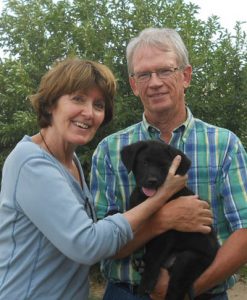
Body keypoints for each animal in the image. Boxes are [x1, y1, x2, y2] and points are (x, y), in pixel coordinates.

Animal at [120, 141, 219, 300]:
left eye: (164, 166)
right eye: (145, 162)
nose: (152, 181)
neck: (147, 199)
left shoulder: (166, 232)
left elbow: (154, 257)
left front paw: (146, 284)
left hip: (188, 260)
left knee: (175, 288)